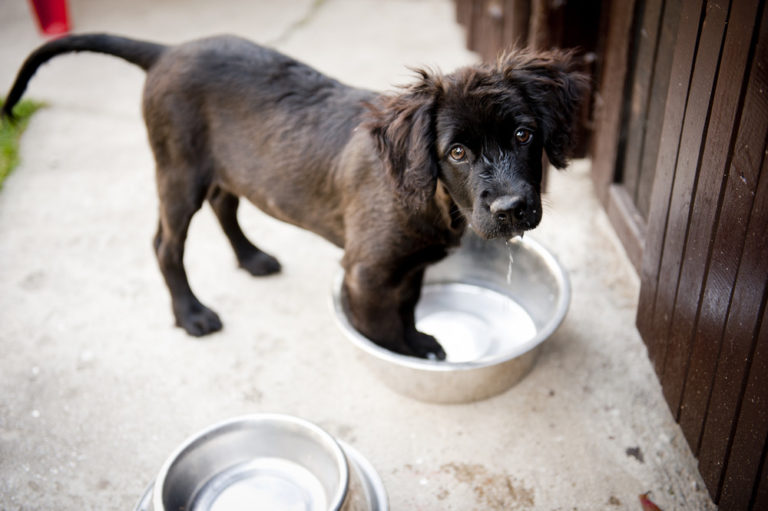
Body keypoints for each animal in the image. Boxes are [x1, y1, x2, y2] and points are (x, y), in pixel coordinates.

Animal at [3, 34, 584, 360]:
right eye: (457, 152)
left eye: (525, 135)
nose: (512, 209)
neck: (433, 197)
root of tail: (168, 51)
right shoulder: (367, 272)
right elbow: (382, 329)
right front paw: (403, 355)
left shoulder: (409, 265)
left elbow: (407, 307)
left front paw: (418, 340)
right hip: (178, 172)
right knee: (166, 244)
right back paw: (192, 314)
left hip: (228, 168)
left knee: (225, 206)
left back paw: (252, 258)